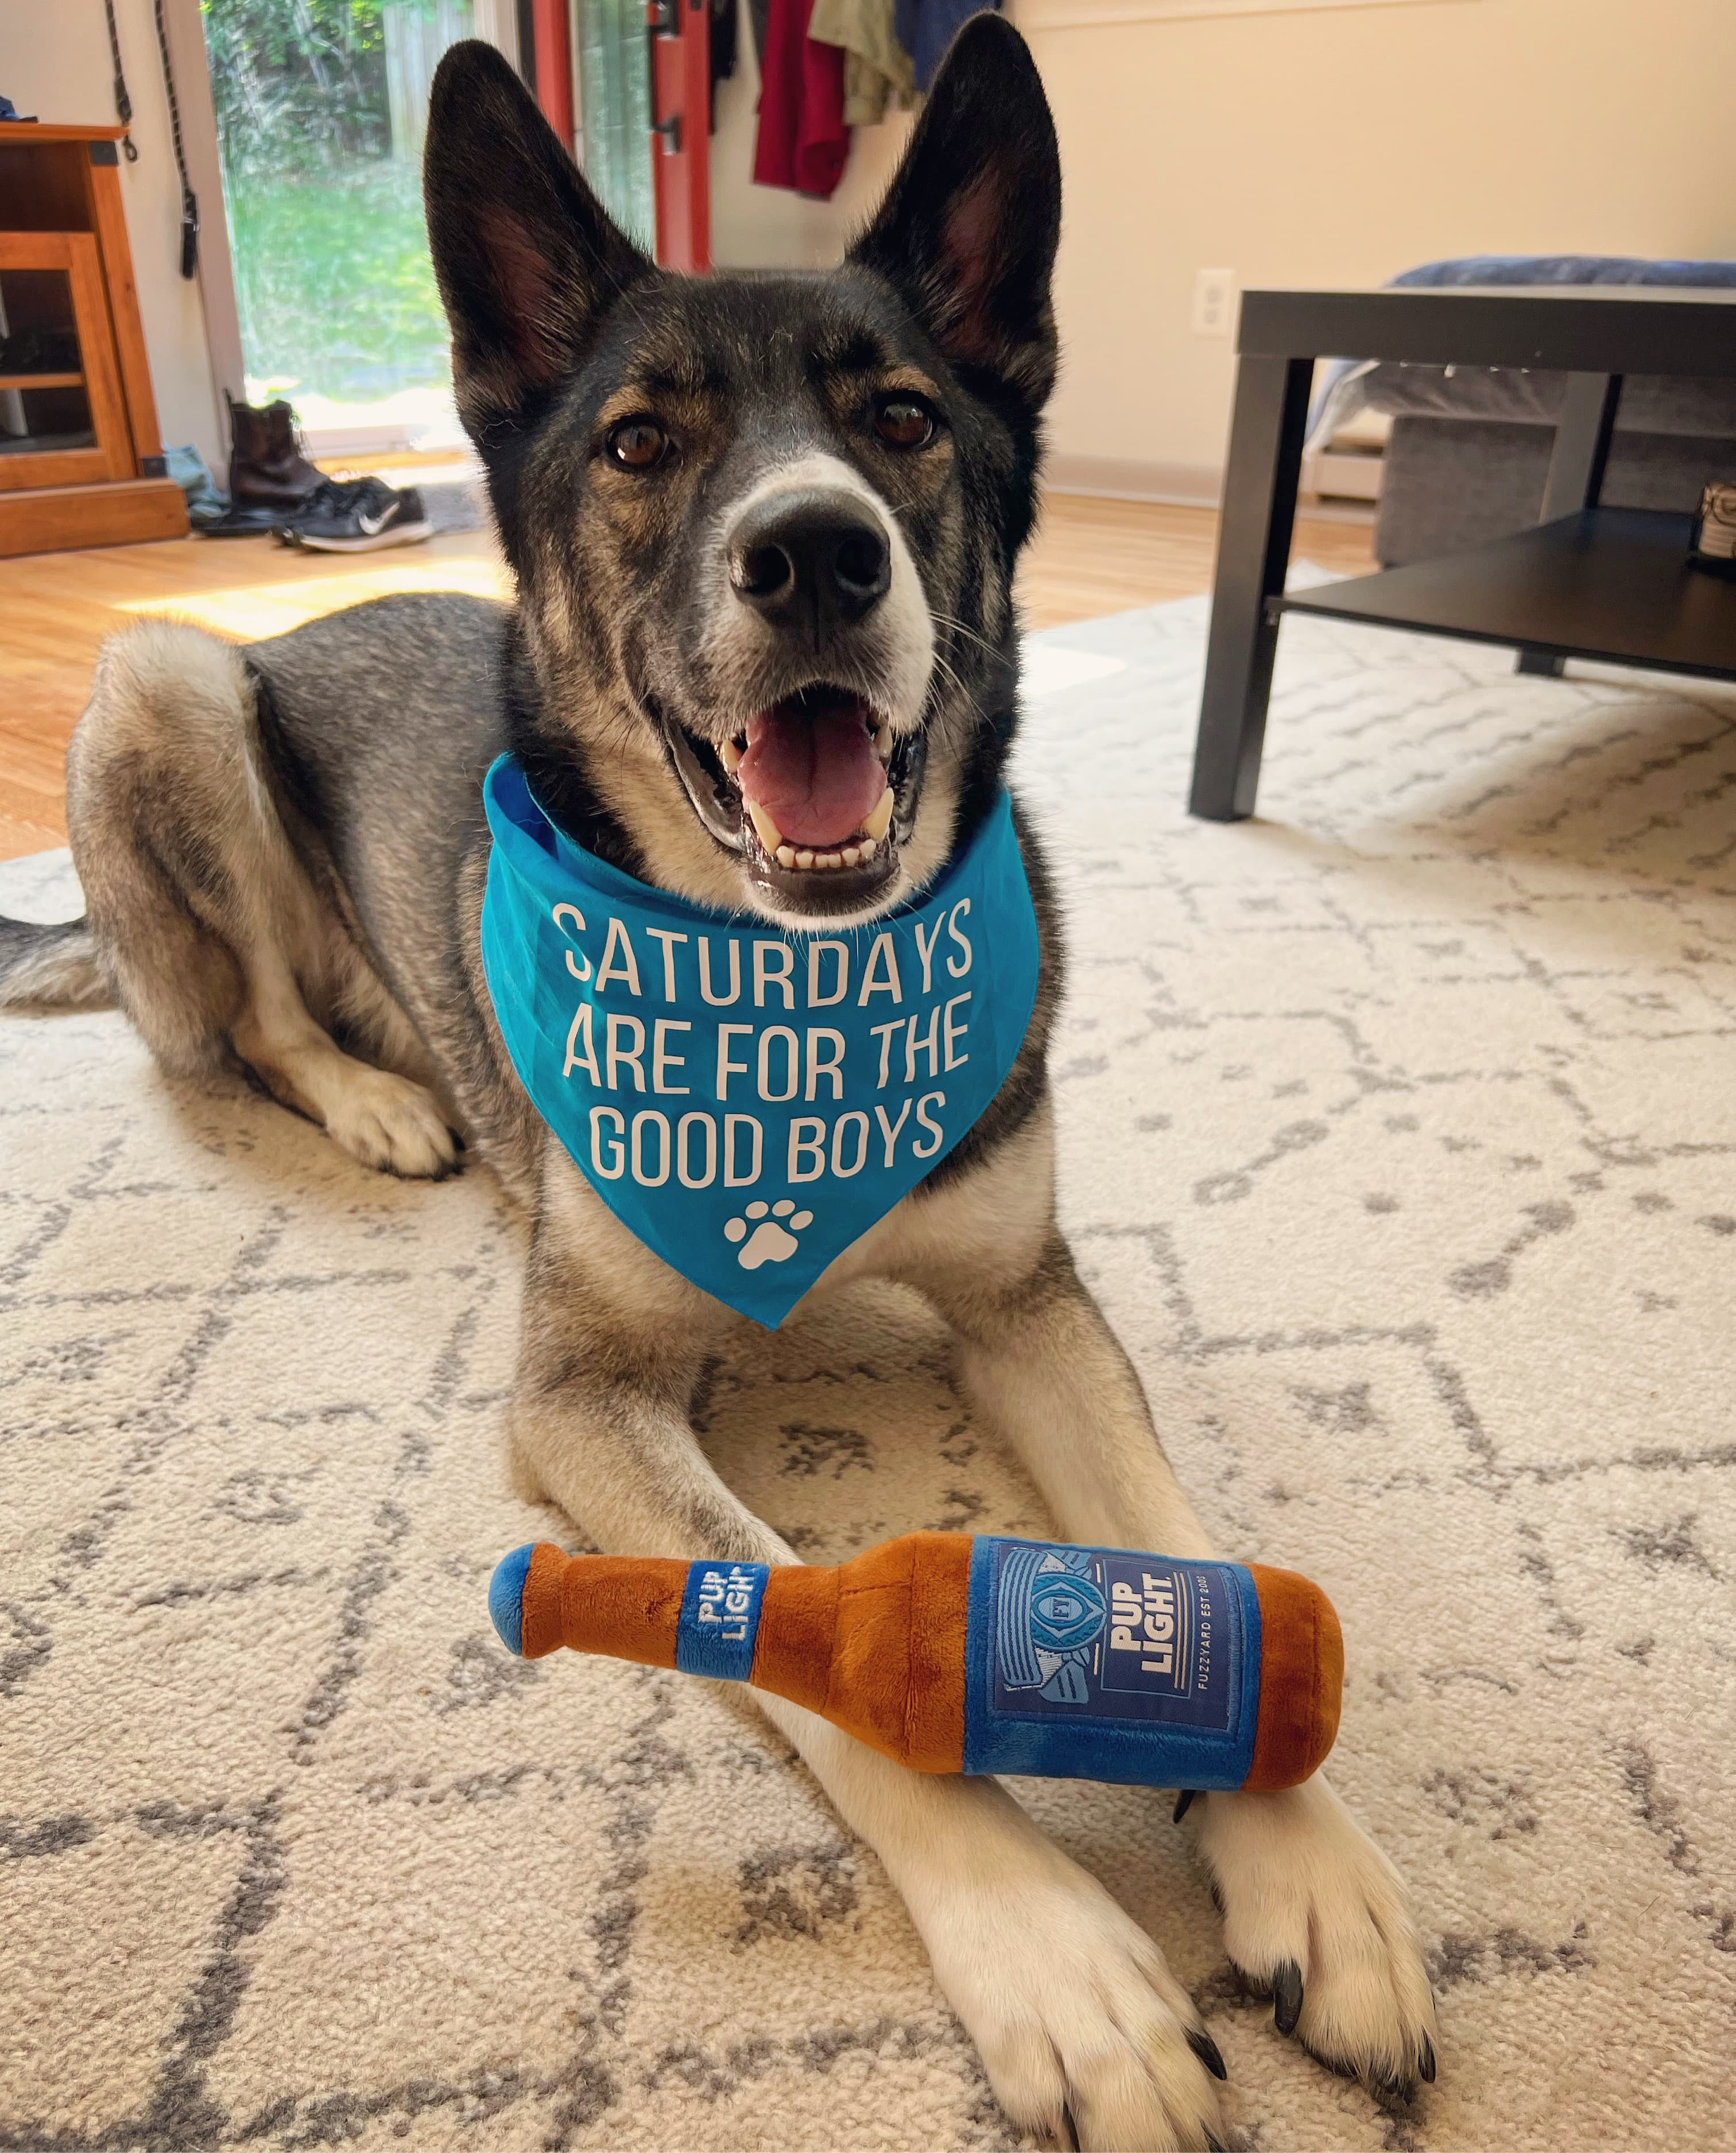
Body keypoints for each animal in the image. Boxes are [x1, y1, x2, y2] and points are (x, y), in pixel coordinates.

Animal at [0, 25, 1439, 2144]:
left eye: (904, 422)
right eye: (635, 445)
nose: (815, 551)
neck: (782, 983)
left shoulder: (1030, 1302)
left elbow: (1179, 1545)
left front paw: (1307, 1856)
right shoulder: (585, 1395)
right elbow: (811, 1643)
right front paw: (1067, 1961)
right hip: (173, 679)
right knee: (249, 1023)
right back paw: (379, 1099)